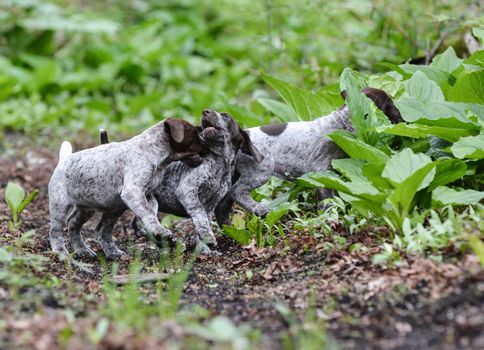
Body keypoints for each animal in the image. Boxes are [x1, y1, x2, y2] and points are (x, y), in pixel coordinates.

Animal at [48, 117, 207, 258]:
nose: (206, 142)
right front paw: (159, 230)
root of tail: (63, 160)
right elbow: (148, 213)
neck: (153, 152)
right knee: (55, 231)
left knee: (81, 226)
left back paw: (93, 250)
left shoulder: (147, 195)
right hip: (60, 207)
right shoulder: (133, 192)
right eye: (195, 133)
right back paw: (61, 252)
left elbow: (151, 210)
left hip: (96, 209)